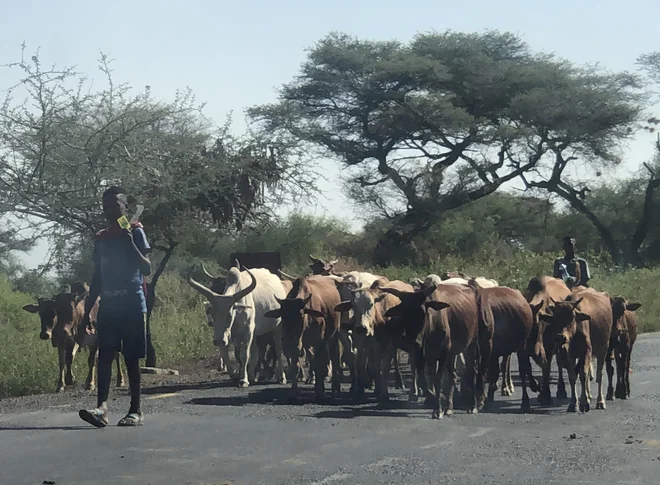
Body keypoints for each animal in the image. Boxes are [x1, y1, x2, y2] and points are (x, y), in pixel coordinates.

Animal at [264, 274, 342, 402]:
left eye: (301, 315)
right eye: (282, 315)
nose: (287, 340)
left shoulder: (318, 341)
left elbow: (319, 364)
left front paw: (319, 393)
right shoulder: (296, 346)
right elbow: (296, 366)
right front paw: (293, 393)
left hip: (334, 335)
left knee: (334, 357)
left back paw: (335, 386)